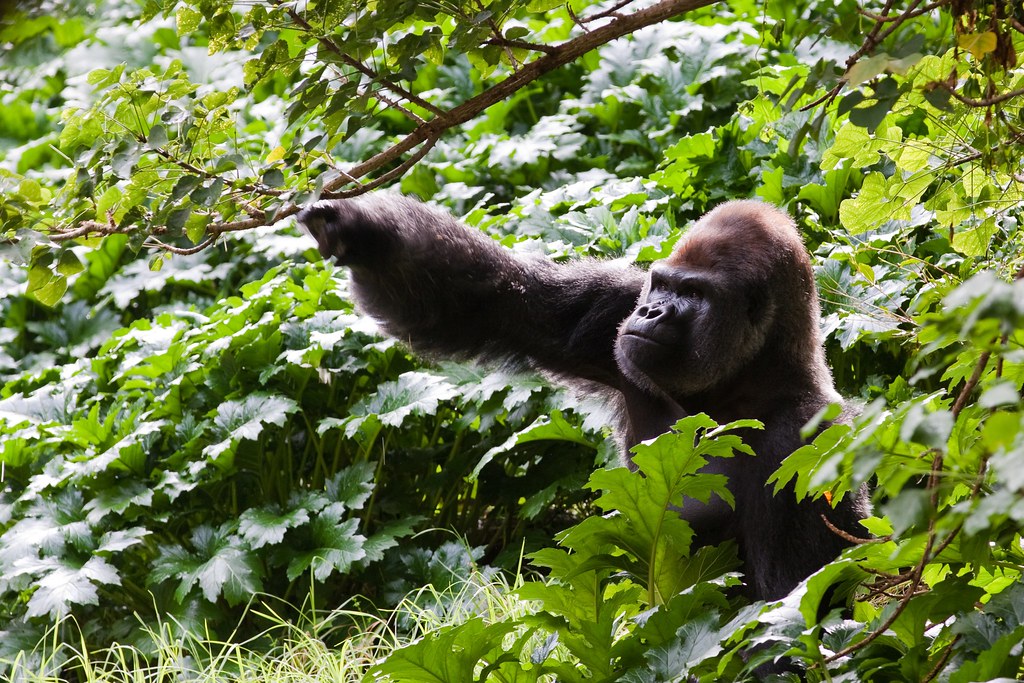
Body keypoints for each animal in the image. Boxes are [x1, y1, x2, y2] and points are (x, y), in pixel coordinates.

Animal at [297, 194, 870, 602]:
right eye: (662, 284)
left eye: (695, 294)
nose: (653, 312)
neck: (746, 378)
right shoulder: (616, 305)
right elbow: (499, 301)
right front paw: (357, 231)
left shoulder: (808, 445)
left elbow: (786, 603)